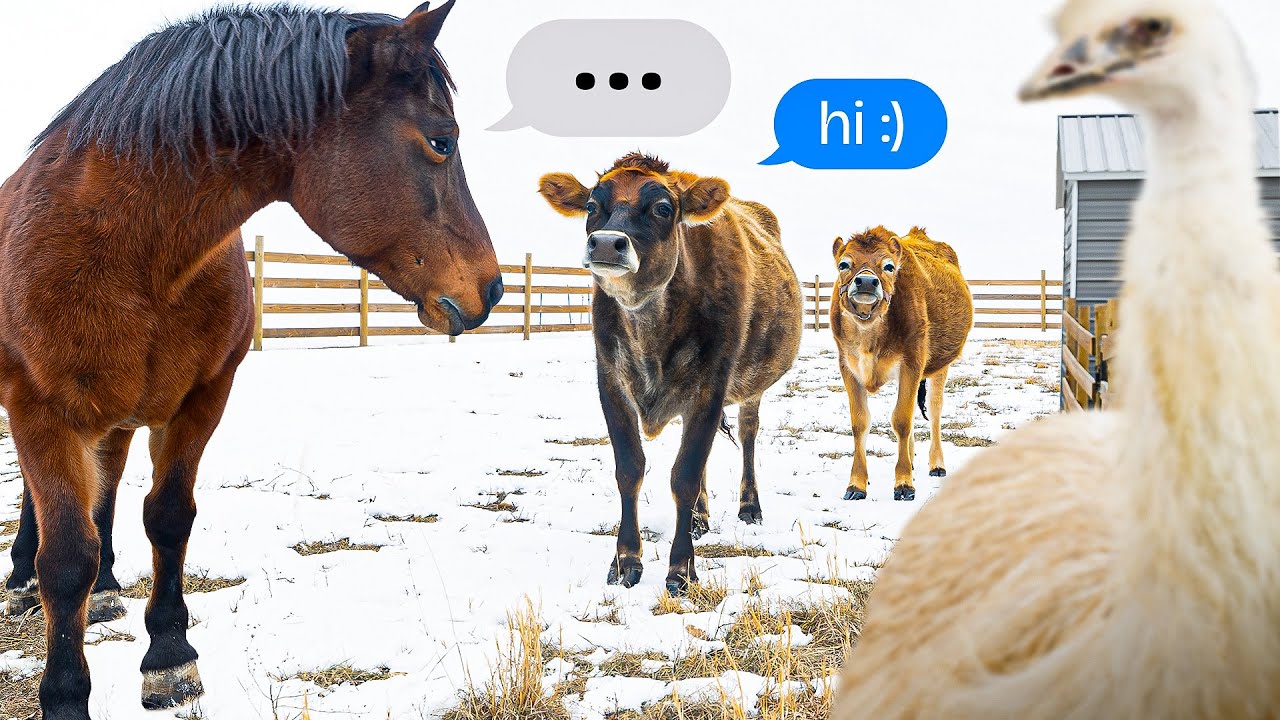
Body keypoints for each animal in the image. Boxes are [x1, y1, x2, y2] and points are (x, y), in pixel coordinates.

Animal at [0, 3, 501, 717]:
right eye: (442, 142)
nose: (493, 288)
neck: (129, 252)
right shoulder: (42, 411)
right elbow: (65, 558)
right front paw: (66, 694)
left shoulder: (201, 400)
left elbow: (168, 520)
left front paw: (169, 657)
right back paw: (24, 580)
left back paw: (106, 590)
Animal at [538, 153, 803, 594]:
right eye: (592, 206)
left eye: (663, 208)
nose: (606, 242)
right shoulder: (611, 383)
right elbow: (630, 469)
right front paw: (626, 560)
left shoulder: (711, 387)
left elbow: (685, 475)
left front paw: (681, 569)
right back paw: (699, 519)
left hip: (750, 387)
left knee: (747, 435)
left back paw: (748, 507)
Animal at [830, 226, 973, 502]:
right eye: (844, 264)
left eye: (889, 266)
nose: (866, 281)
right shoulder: (848, 366)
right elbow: (860, 423)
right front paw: (856, 485)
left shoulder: (912, 363)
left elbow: (901, 420)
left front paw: (904, 483)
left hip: (939, 367)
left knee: (934, 410)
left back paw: (936, 464)